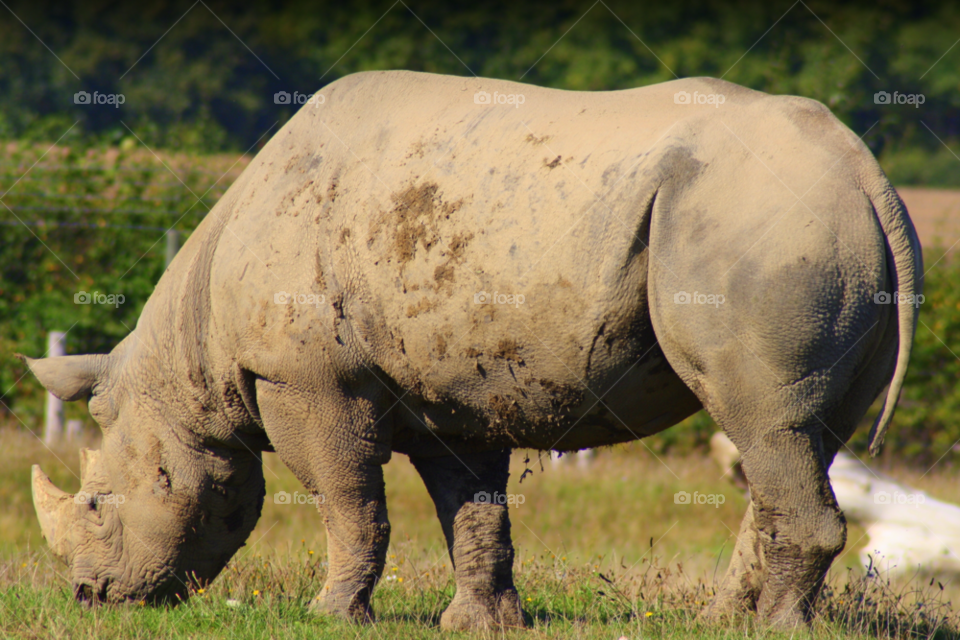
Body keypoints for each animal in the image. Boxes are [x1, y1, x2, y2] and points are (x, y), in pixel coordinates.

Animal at [20, 70, 921, 630]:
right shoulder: (453, 391)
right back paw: (718, 621)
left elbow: (348, 498)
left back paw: (773, 629)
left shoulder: (307, 379)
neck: (186, 367)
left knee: (765, 424)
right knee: (799, 438)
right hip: (801, 227)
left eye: (97, 504)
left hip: (765, 224)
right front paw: (481, 623)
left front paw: (332, 617)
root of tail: (865, 172)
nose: (90, 596)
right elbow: (473, 507)